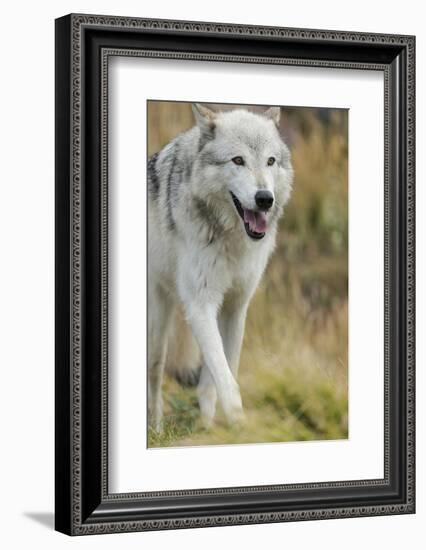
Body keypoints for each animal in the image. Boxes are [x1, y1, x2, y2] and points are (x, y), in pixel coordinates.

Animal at [147, 102, 292, 432]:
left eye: (270, 161)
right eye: (238, 160)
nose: (265, 199)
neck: (231, 239)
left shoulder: (236, 306)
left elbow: (221, 373)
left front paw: (209, 427)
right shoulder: (201, 305)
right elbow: (226, 380)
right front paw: (240, 426)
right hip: (158, 323)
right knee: (155, 373)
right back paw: (156, 430)